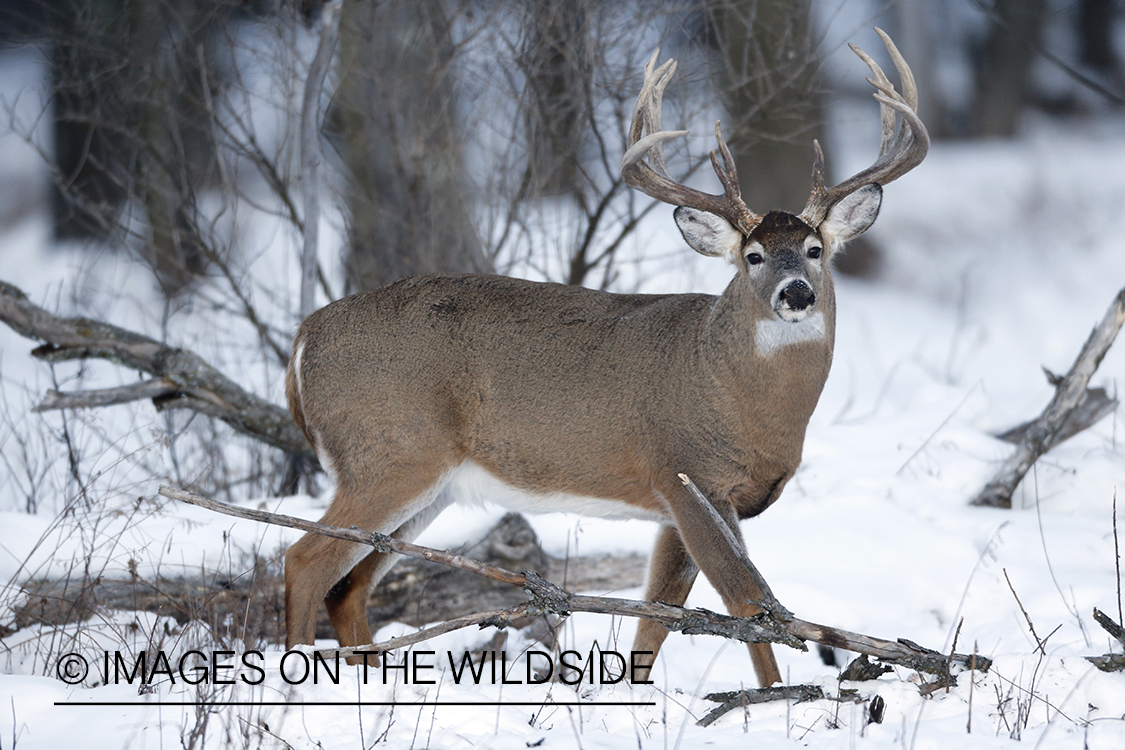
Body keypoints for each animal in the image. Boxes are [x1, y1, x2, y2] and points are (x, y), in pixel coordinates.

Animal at [283, 27, 931, 688]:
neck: (734, 391)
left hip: (425, 482)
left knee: (350, 585)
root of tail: (305, 334)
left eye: (814, 249)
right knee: (304, 560)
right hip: (388, 451)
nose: (795, 293)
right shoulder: (685, 470)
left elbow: (659, 618)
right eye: (752, 256)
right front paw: (778, 697)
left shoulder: (678, 505)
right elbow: (749, 603)